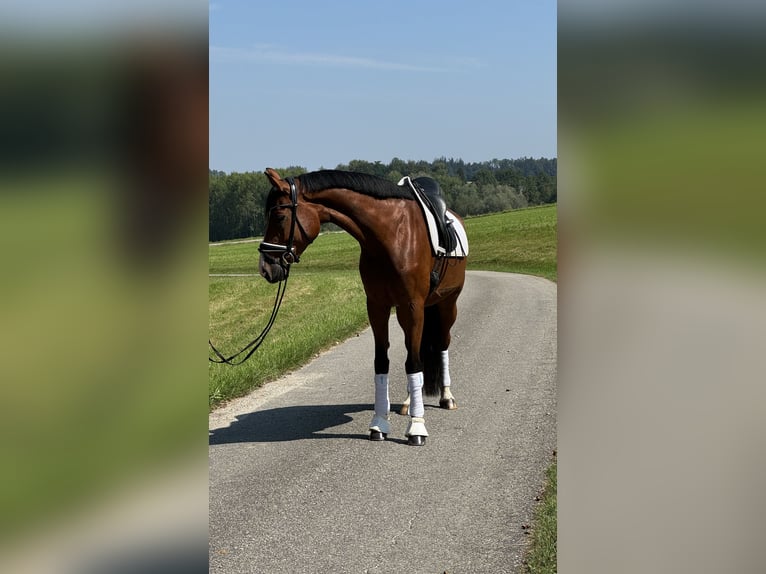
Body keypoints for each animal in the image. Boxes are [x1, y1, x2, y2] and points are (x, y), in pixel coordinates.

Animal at [258, 169, 468, 448]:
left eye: (280, 216)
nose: (265, 267)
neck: (391, 235)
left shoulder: (412, 306)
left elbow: (413, 363)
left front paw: (417, 427)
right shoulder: (377, 307)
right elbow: (383, 363)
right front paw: (379, 423)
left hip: (446, 305)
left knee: (441, 344)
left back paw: (446, 396)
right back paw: (408, 402)